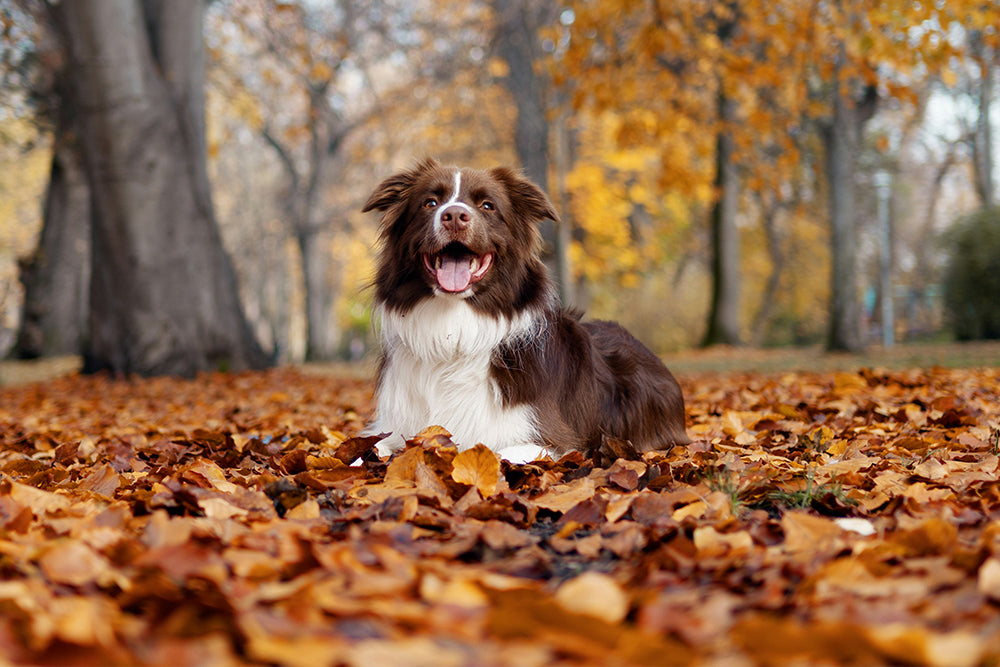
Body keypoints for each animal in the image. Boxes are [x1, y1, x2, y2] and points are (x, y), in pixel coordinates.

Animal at [362, 160, 688, 464]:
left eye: (487, 205)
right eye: (430, 202)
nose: (454, 215)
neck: (453, 335)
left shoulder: (552, 440)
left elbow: (495, 453)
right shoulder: (393, 426)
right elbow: (367, 448)